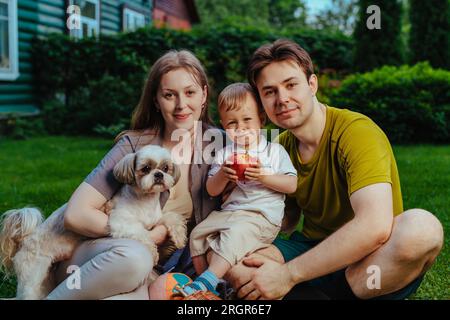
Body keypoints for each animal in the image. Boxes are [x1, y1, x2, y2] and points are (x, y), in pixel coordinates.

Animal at [0, 145, 187, 300]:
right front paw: (154, 253)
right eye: (146, 168)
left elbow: (172, 218)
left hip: (45, 281)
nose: (159, 174)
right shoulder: (121, 222)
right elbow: (143, 234)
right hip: (31, 279)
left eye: (166, 168)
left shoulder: (156, 219)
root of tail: (25, 239)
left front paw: (179, 238)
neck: (144, 201)